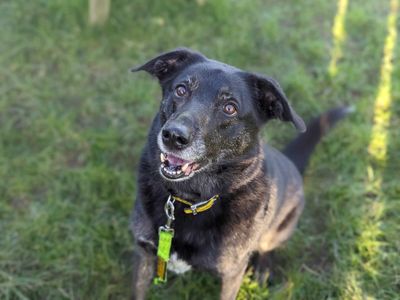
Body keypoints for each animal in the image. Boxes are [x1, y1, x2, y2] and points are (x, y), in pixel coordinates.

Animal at [129, 48, 350, 298]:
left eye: (230, 108)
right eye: (181, 90)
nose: (174, 136)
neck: (190, 200)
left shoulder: (232, 274)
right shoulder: (144, 254)